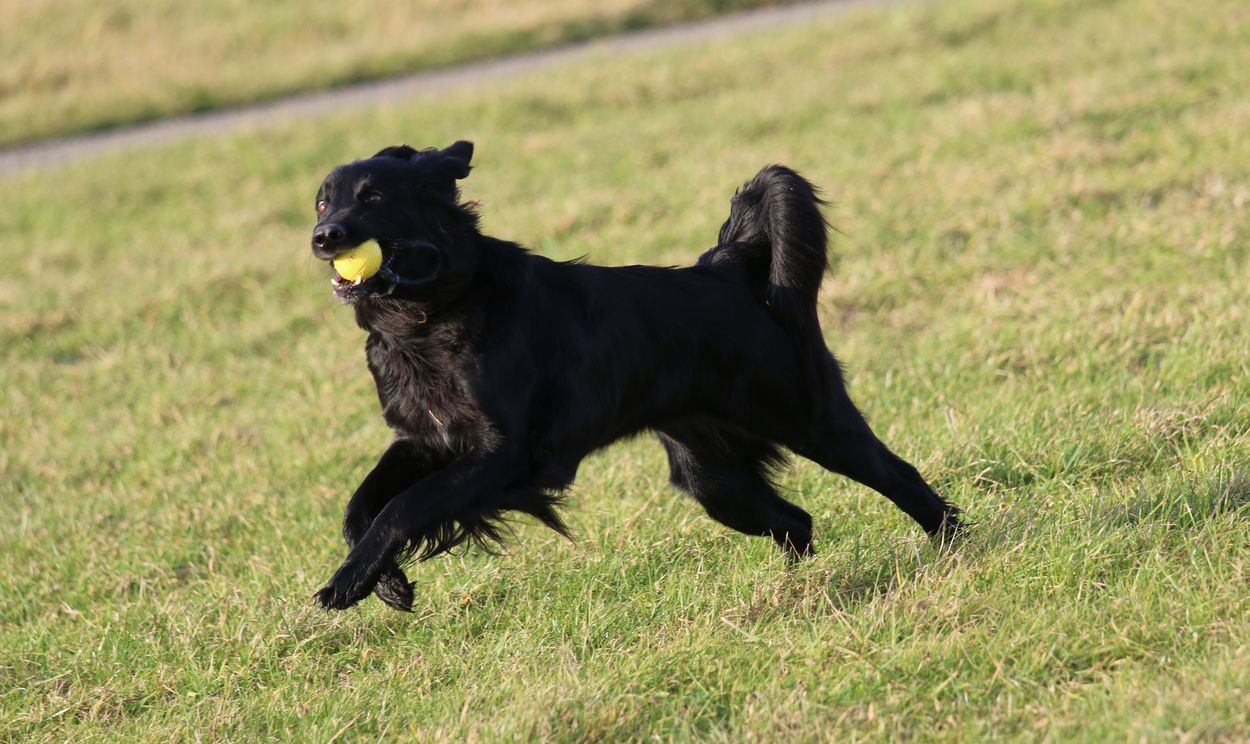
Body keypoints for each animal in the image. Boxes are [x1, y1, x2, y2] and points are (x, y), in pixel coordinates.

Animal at [308, 141, 960, 611]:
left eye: (372, 197)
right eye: (322, 202)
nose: (324, 238)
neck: (433, 311)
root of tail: (723, 267)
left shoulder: (503, 455)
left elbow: (404, 506)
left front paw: (346, 584)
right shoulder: (424, 439)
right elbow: (361, 506)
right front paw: (385, 582)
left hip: (807, 417)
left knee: (899, 477)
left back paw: (953, 544)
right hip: (711, 477)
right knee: (795, 522)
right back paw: (800, 592)